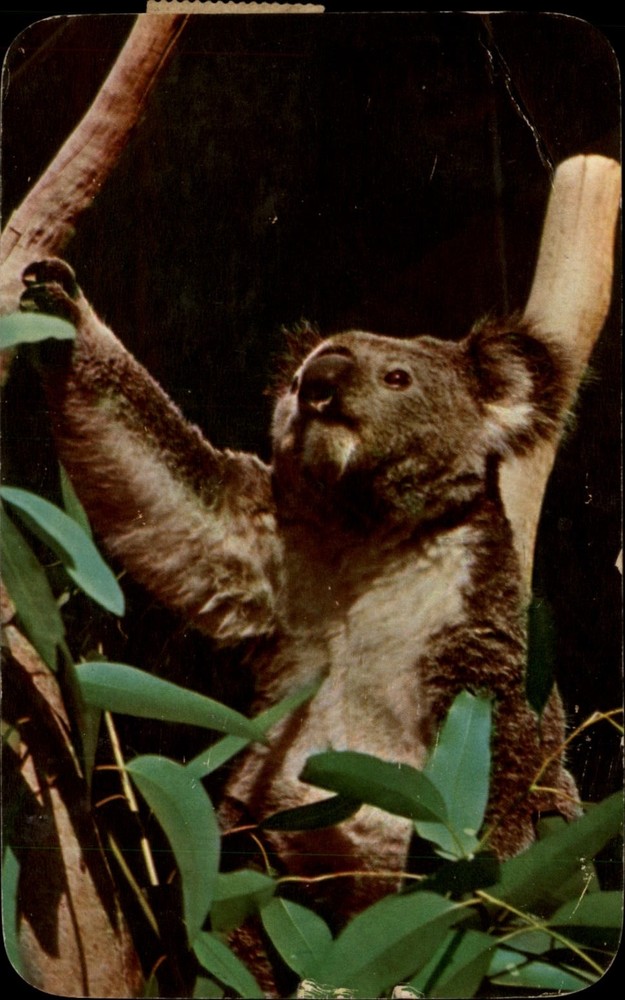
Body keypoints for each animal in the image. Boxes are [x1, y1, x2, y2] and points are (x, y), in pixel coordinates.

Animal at [18, 258, 580, 921]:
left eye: (397, 378)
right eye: (295, 380)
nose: (318, 385)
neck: (367, 534)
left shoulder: (483, 619)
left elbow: (506, 738)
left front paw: (485, 865)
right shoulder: (260, 545)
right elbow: (167, 490)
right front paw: (57, 303)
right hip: (256, 852)